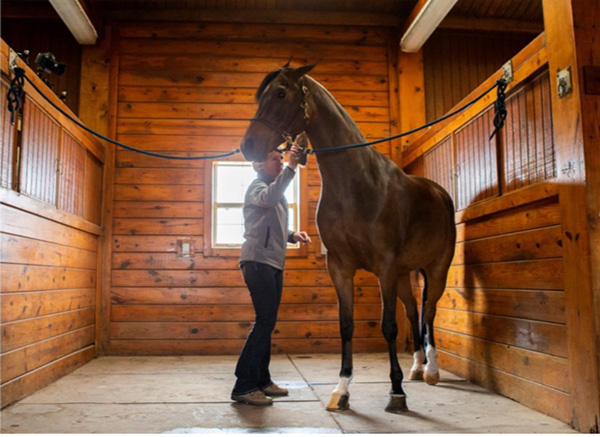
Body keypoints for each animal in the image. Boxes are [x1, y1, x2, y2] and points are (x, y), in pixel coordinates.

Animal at [239, 62, 454, 412]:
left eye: (281, 93)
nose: (249, 145)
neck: (358, 184)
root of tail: (439, 193)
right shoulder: (341, 267)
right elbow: (346, 324)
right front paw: (342, 390)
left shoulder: (385, 267)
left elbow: (389, 326)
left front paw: (396, 392)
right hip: (404, 275)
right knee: (413, 310)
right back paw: (417, 367)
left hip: (437, 270)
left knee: (430, 311)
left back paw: (432, 370)